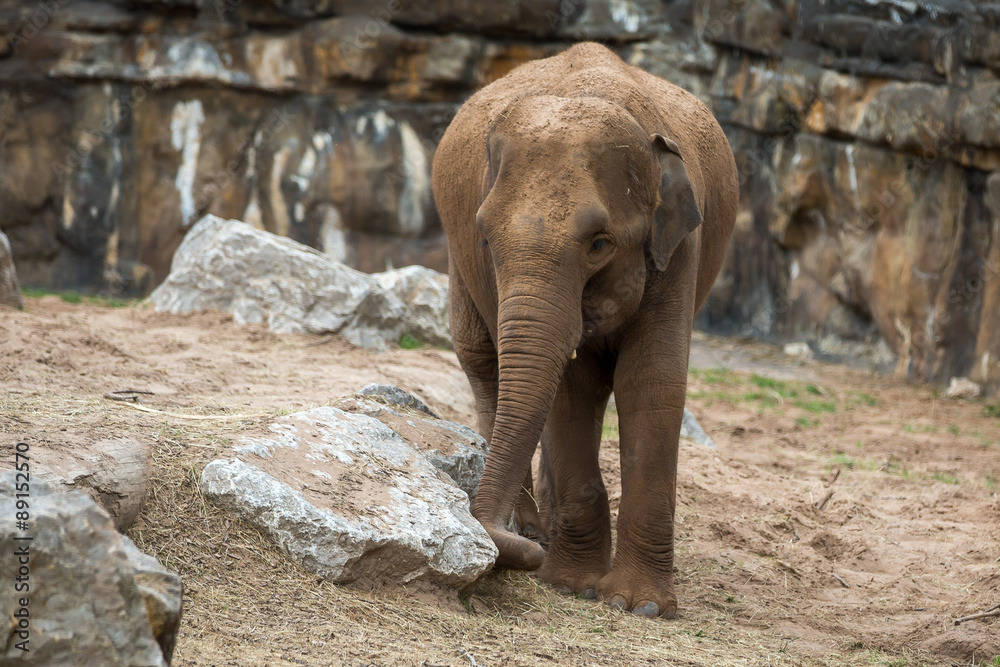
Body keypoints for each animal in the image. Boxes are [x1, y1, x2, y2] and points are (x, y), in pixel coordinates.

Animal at [430, 43, 738, 618]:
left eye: (599, 244)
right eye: (485, 237)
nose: (513, 551)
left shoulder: (680, 249)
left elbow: (652, 381)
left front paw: (638, 606)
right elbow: (571, 387)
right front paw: (572, 586)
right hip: (458, 271)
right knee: (483, 361)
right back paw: (538, 530)